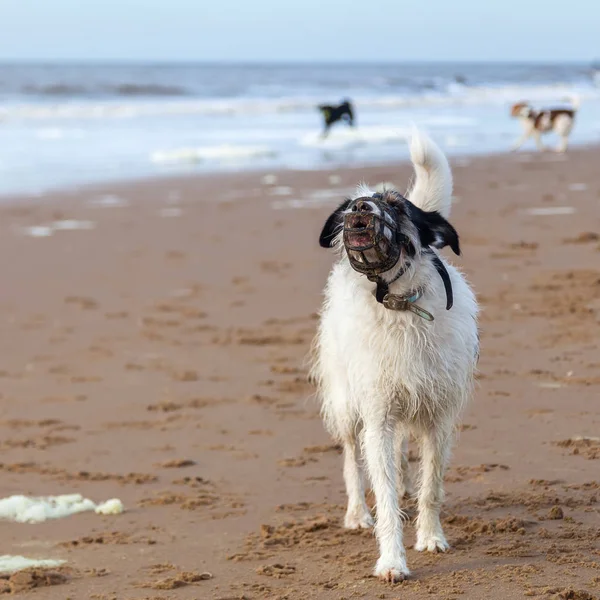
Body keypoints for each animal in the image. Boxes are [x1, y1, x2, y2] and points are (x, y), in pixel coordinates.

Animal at [310, 134, 478, 584]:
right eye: (353, 204)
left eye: (398, 206)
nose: (360, 209)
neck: (401, 306)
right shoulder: (378, 416)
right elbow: (382, 492)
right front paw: (391, 561)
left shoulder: (438, 415)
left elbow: (431, 485)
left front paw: (431, 537)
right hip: (347, 403)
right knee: (352, 458)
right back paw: (356, 513)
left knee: (404, 456)